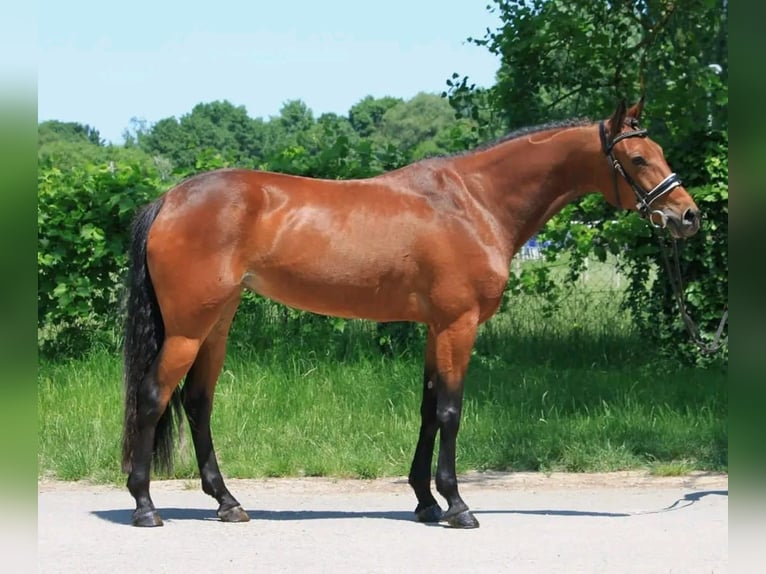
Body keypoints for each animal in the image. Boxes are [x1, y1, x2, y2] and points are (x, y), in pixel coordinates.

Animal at [121, 98, 701, 528]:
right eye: (640, 159)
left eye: (658, 150)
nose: (688, 216)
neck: (474, 202)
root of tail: (169, 199)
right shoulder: (458, 326)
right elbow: (450, 411)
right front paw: (458, 505)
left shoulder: (434, 329)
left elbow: (427, 409)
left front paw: (424, 501)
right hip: (189, 328)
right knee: (153, 396)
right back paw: (146, 506)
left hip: (216, 324)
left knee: (197, 402)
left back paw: (227, 502)